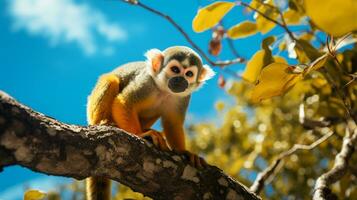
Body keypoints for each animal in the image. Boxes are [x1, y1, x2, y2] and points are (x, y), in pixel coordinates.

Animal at [85, 45, 214, 200]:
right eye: (175, 70)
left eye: (189, 74)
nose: (180, 80)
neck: (164, 90)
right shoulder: (146, 83)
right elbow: (124, 102)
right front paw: (140, 134)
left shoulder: (183, 97)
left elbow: (173, 123)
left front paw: (184, 152)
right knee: (111, 79)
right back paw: (104, 123)